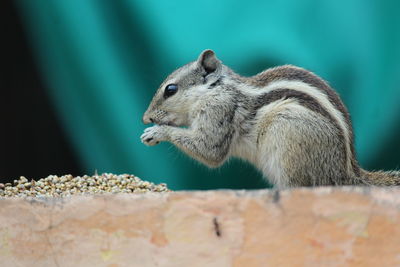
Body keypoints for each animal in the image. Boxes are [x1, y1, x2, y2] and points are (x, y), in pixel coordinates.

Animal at [140, 49, 396, 188]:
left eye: (171, 90)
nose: (146, 118)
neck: (216, 90)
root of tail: (345, 175)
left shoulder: (218, 111)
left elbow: (210, 150)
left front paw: (157, 132)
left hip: (289, 138)